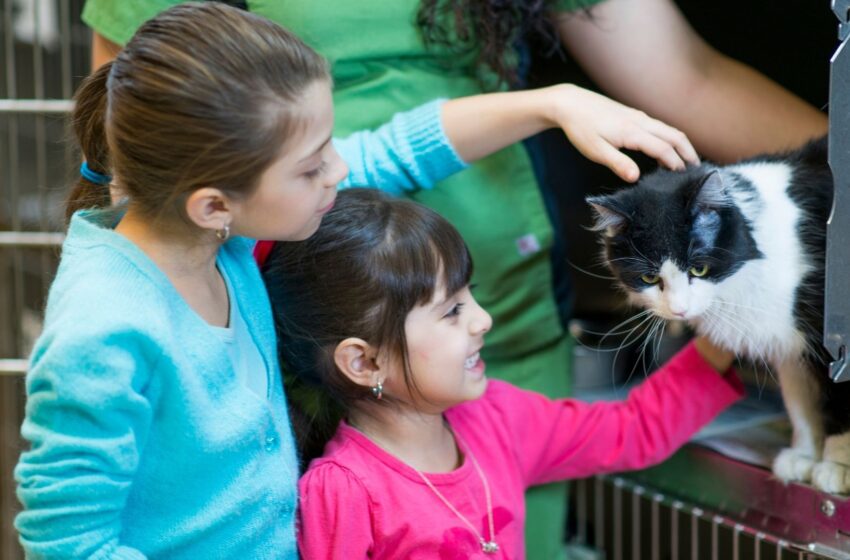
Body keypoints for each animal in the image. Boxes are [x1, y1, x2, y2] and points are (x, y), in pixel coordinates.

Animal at [588, 137, 848, 494]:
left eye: (699, 269)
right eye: (650, 278)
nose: (679, 309)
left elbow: (840, 405)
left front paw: (836, 466)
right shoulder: (790, 345)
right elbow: (802, 406)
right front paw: (804, 456)